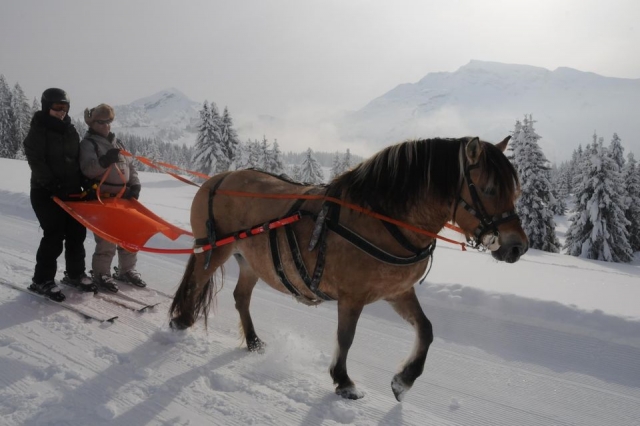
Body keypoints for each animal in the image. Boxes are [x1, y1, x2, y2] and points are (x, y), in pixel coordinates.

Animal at [169, 136, 528, 401]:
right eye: (489, 189)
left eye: (516, 190)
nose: (518, 246)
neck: (383, 219)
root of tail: (219, 177)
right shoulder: (352, 297)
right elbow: (346, 337)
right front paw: (343, 381)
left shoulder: (398, 291)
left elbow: (426, 330)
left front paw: (404, 379)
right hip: (215, 249)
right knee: (195, 284)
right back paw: (182, 321)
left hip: (251, 261)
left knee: (241, 297)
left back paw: (254, 341)